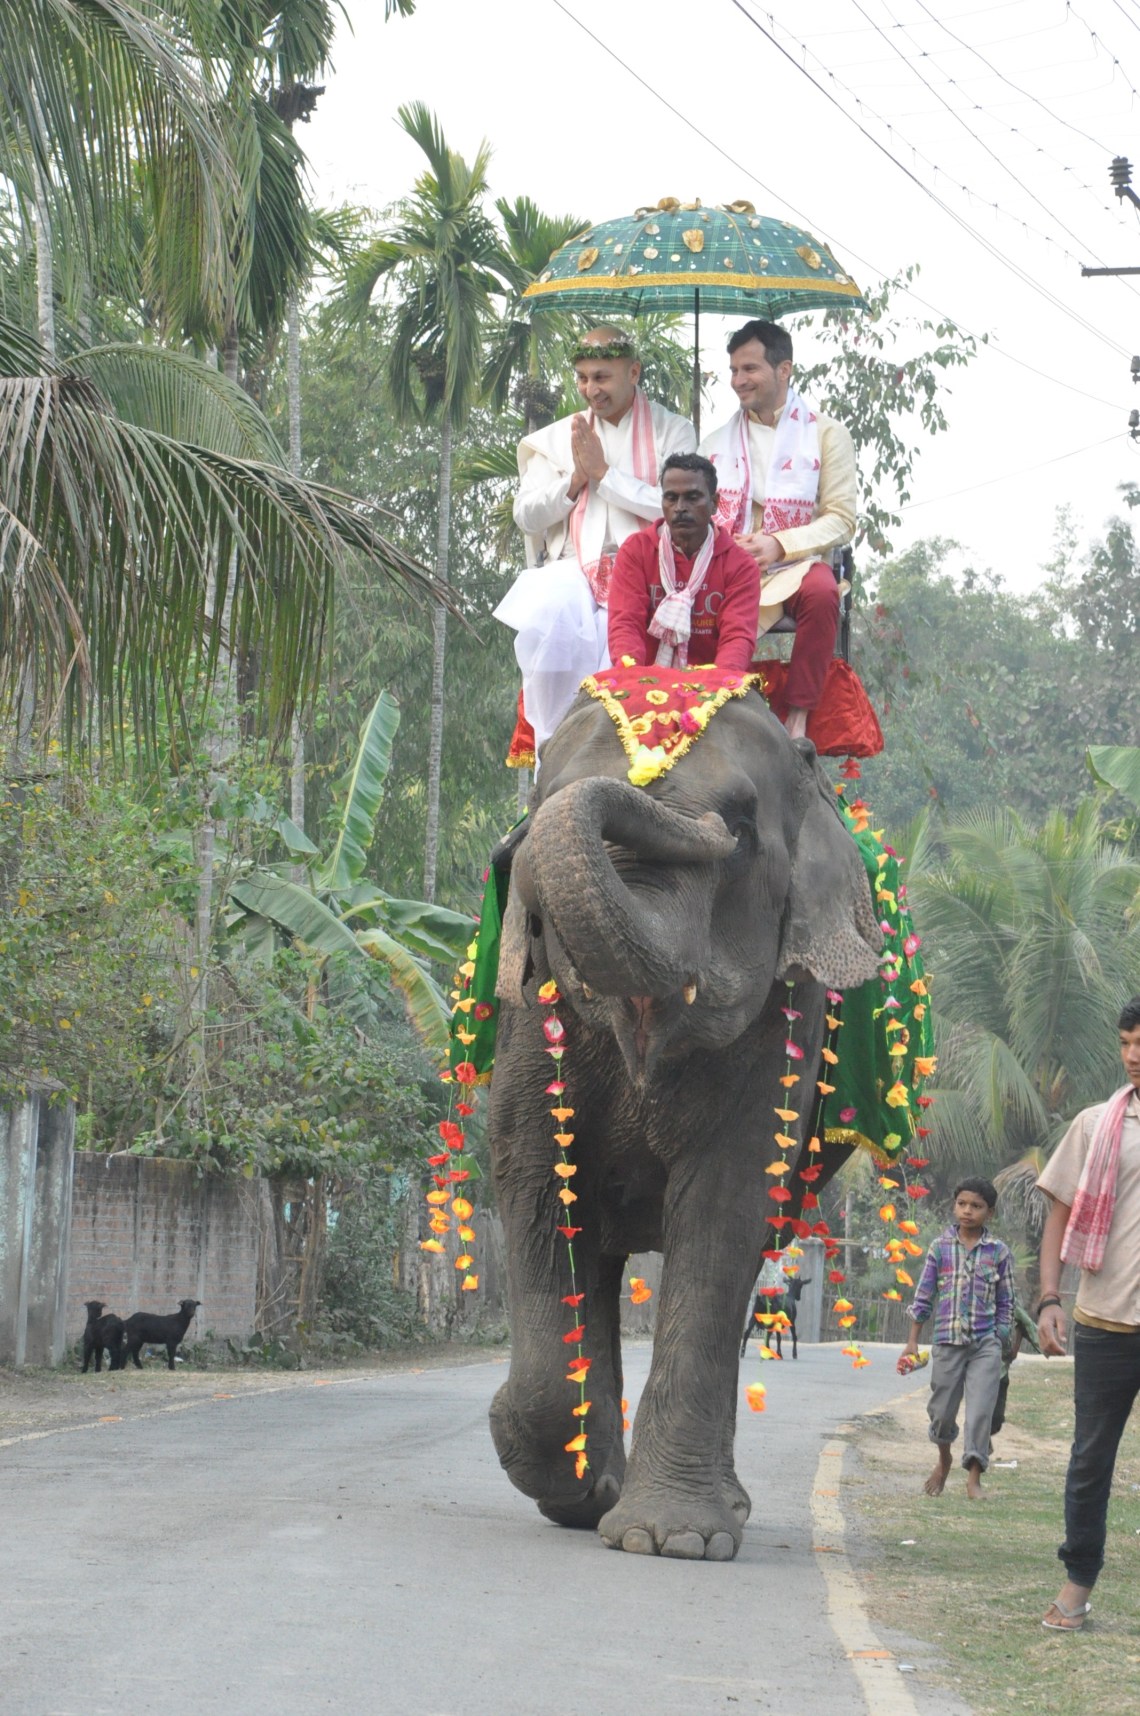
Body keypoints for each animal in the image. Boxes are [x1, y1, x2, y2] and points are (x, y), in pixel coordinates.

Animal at [487, 682, 882, 1560]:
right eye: (541, 802)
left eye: (740, 826)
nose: (516, 847)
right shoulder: (533, 1023)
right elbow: (537, 1187)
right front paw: (561, 1470)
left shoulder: (787, 1019)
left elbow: (723, 1205)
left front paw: (670, 1540)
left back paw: (712, 1508)